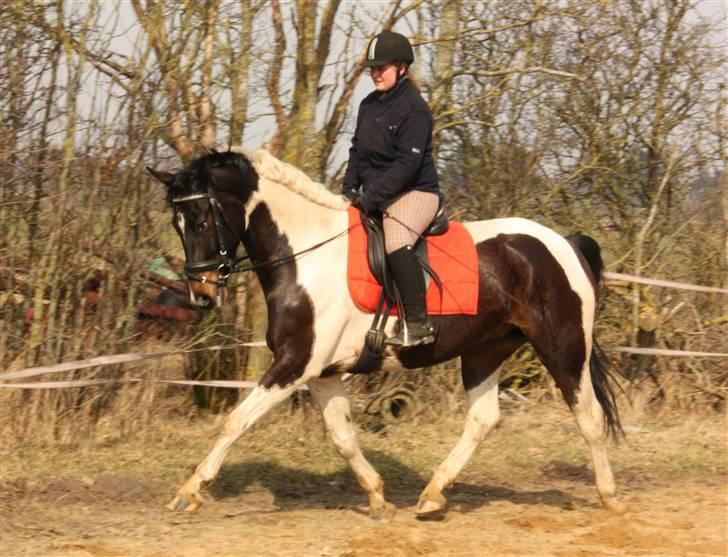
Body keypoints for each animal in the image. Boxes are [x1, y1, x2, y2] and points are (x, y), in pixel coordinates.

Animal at [148, 147, 624, 516]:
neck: (305, 257)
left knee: (589, 416)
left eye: (202, 220)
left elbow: (236, 421)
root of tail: (564, 241)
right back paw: (432, 495)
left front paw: (189, 491)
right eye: (176, 224)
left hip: (563, 347)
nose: (202, 295)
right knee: (483, 419)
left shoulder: (294, 365)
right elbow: (343, 436)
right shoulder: (323, 373)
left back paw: (610, 498)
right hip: (484, 350)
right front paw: (378, 497)